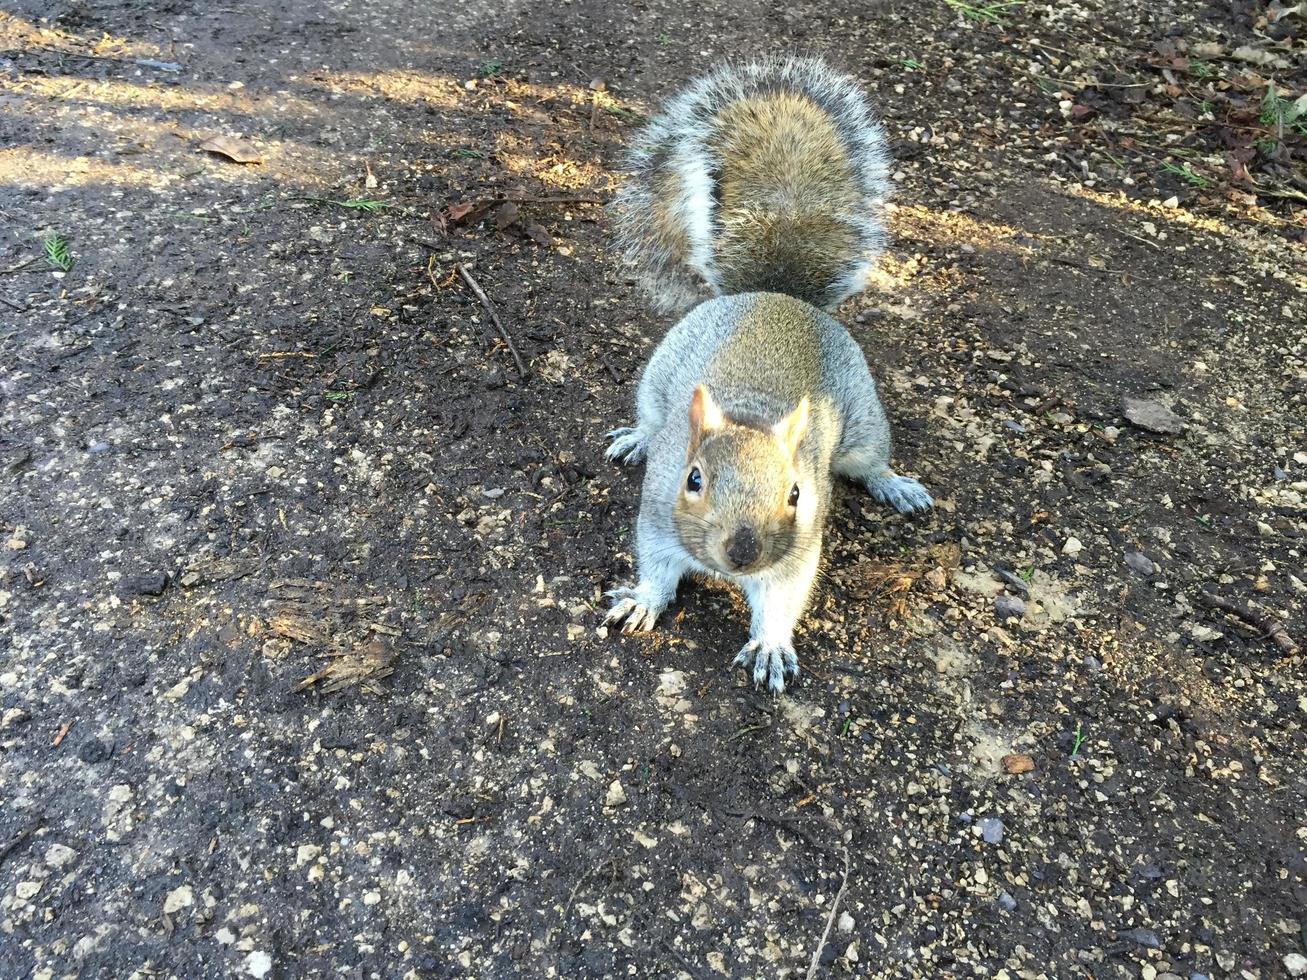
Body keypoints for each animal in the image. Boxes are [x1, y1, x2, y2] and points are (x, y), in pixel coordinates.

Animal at [601, 55, 930, 700]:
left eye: (797, 494)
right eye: (693, 479)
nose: (743, 551)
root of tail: (779, 296)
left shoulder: (798, 550)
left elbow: (782, 597)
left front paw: (772, 645)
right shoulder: (657, 517)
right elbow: (656, 567)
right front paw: (644, 600)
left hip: (863, 426)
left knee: (870, 462)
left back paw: (895, 484)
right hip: (656, 380)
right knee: (650, 417)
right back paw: (637, 436)